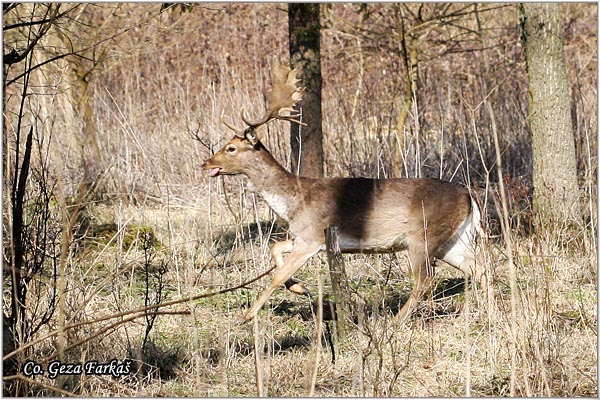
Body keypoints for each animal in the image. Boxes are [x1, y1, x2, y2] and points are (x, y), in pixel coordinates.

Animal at [203, 59, 488, 324]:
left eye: (230, 148)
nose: (206, 162)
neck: (293, 201)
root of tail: (468, 196)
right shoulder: (302, 236)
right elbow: (275, 248)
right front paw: (299, 287)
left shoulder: (312, 236)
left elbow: (276, 276)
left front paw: (247, 316)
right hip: (454, 239)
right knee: (478, 269)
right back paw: (480, 313)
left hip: (423, 234)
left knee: (426, 280)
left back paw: (395, 321)